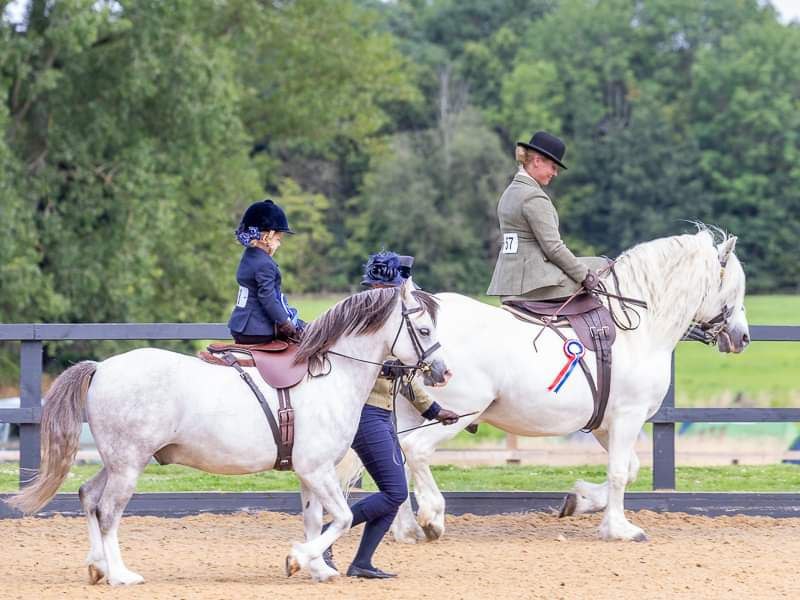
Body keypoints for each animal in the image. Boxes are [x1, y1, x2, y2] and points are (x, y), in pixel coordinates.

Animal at [3, 282, 446, 584]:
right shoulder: (317, 470)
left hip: (116, 461)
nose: (441, 372)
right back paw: (120, 574)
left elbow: (315, 519)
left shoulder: (309, 474)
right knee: (109, 510)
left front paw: (317, 568)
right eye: (423, 330)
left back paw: (97, 567)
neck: (331, 374)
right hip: (129, 464)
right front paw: (298, 559)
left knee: (89, 497)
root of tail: (102, 367)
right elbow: (341, 517)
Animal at [346, 229, 748, 544]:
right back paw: (432, 516)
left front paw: (580, 500)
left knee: (397, 458)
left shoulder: (605, 424)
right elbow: (620, 472)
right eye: (734, 288)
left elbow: (630, 468)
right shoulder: (628, 417)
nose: (742, 337)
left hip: (410, 412)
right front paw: (619, 529)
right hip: (455, 412)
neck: (638, 328)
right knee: (416, 450)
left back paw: (407, 529)